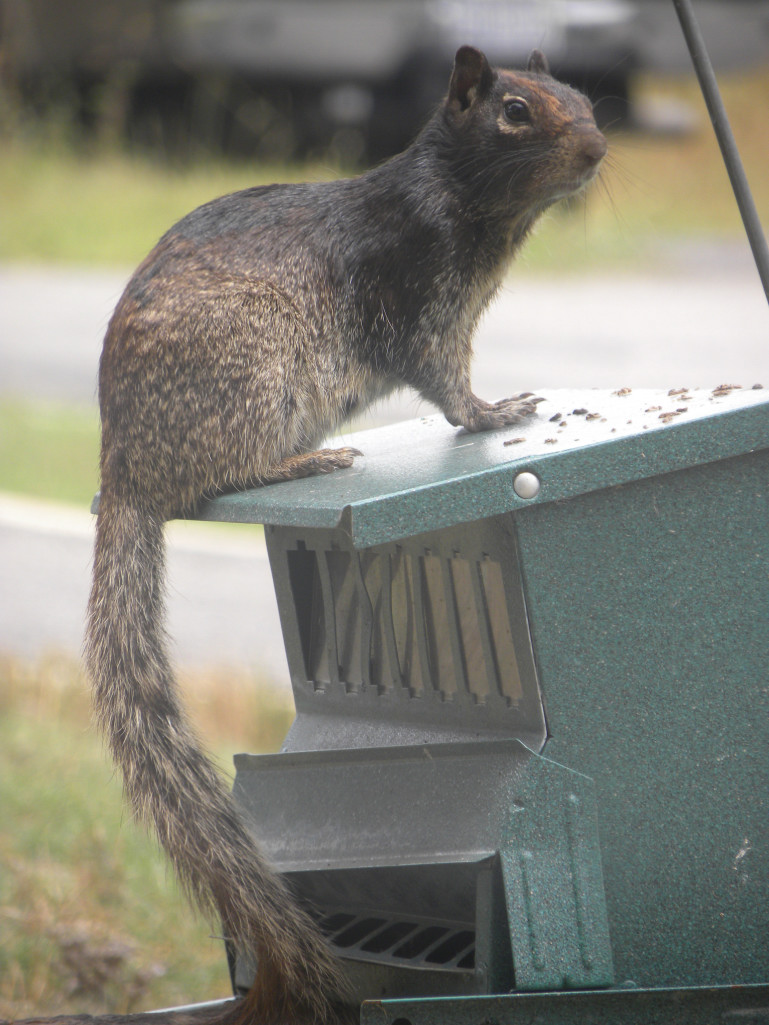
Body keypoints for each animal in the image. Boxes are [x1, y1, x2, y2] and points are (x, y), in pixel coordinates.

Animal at [84, 45, 605, 1025]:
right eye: (515, 110)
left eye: (587, 99)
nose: (597, 149)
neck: (471, 203)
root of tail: (123, 472)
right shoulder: (420, 300)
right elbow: (445, 379)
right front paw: (494, 411)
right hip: (251, 374)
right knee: (214, 478)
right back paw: (303, 460)